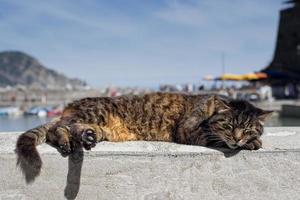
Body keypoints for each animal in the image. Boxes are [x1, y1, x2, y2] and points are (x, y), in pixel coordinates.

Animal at [14, 92, 272, 181]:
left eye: (247, 128)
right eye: (229, 126)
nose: (238, 138)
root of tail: (69, 105)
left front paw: (253, 140)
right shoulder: (188, 129)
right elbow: (212, 136)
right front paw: (253, 143)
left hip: (98, 127)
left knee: (64, 129)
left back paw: (81, 139)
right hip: (93, 113)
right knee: (56, 128)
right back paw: (68, 140)